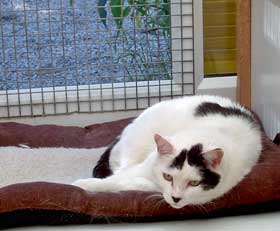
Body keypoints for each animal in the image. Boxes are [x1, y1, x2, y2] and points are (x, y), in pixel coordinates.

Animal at [72, 94, 262, 208]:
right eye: (168, 177)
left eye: (194, 183)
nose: (176, 197)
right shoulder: (142, 168)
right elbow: (112, 181)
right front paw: (82, 185)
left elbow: (131, 184)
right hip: (135, 144)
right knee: (120, 169)